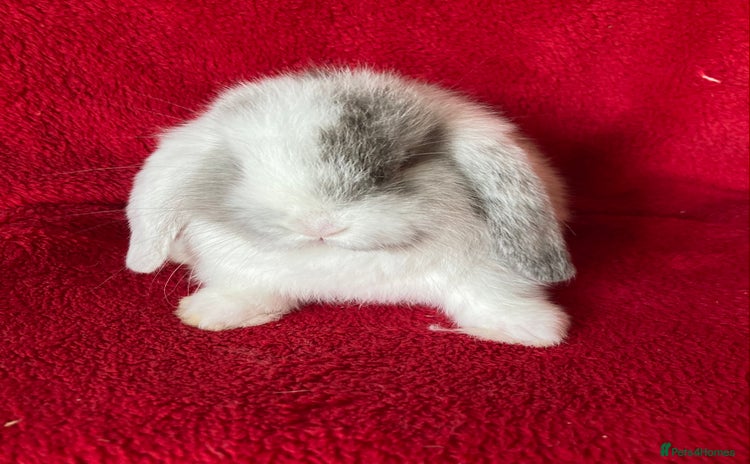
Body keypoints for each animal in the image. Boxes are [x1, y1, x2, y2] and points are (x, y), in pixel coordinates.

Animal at [126, 67, 575, 347]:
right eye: (240, 167)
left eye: (395, 167)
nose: (318, 224)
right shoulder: (239, 268)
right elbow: (247, 289)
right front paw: (211, 313)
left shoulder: (485, 272)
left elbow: (487, 296)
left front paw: (529, 330)